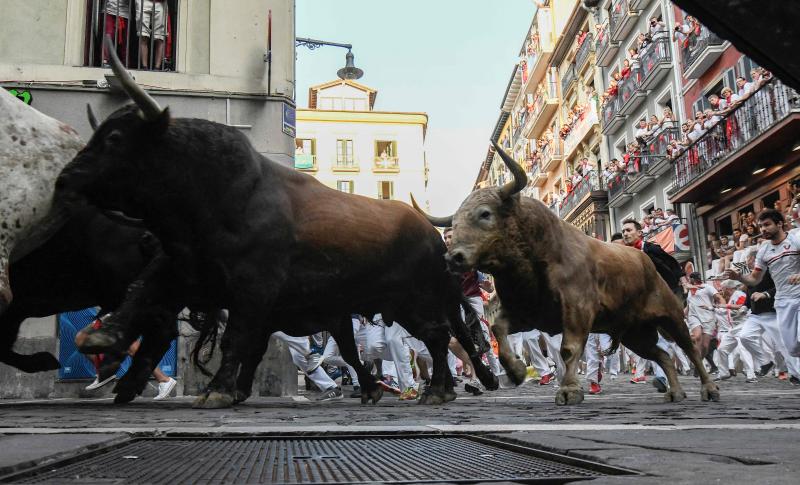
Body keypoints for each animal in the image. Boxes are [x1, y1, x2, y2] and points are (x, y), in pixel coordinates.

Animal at [50, 39, 494, 406]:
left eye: (114, 138)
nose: (64, 179)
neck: (218, 192)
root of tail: (432, 235)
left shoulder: (253, 290)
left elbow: (237, 340)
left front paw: (216, 391)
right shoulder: (190, 271)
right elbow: (148, 294)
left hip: (414, 300)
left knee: (439, 336)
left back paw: (439, 389)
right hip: (399, 305)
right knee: (436, 337)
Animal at [416, 143, 720, 404]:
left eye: (485, 214)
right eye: (455, 222)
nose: (453, 257)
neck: (536, 256)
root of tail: (647, 262)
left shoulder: (577, 310)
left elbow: (568, 349)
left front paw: (570, 390)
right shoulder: (526, 314)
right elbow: (498, 330)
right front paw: (515, 371)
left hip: (670, 316)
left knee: (690, 348)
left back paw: (709, 388)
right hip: (635, 333)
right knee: (663, 355)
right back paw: (675, 392)